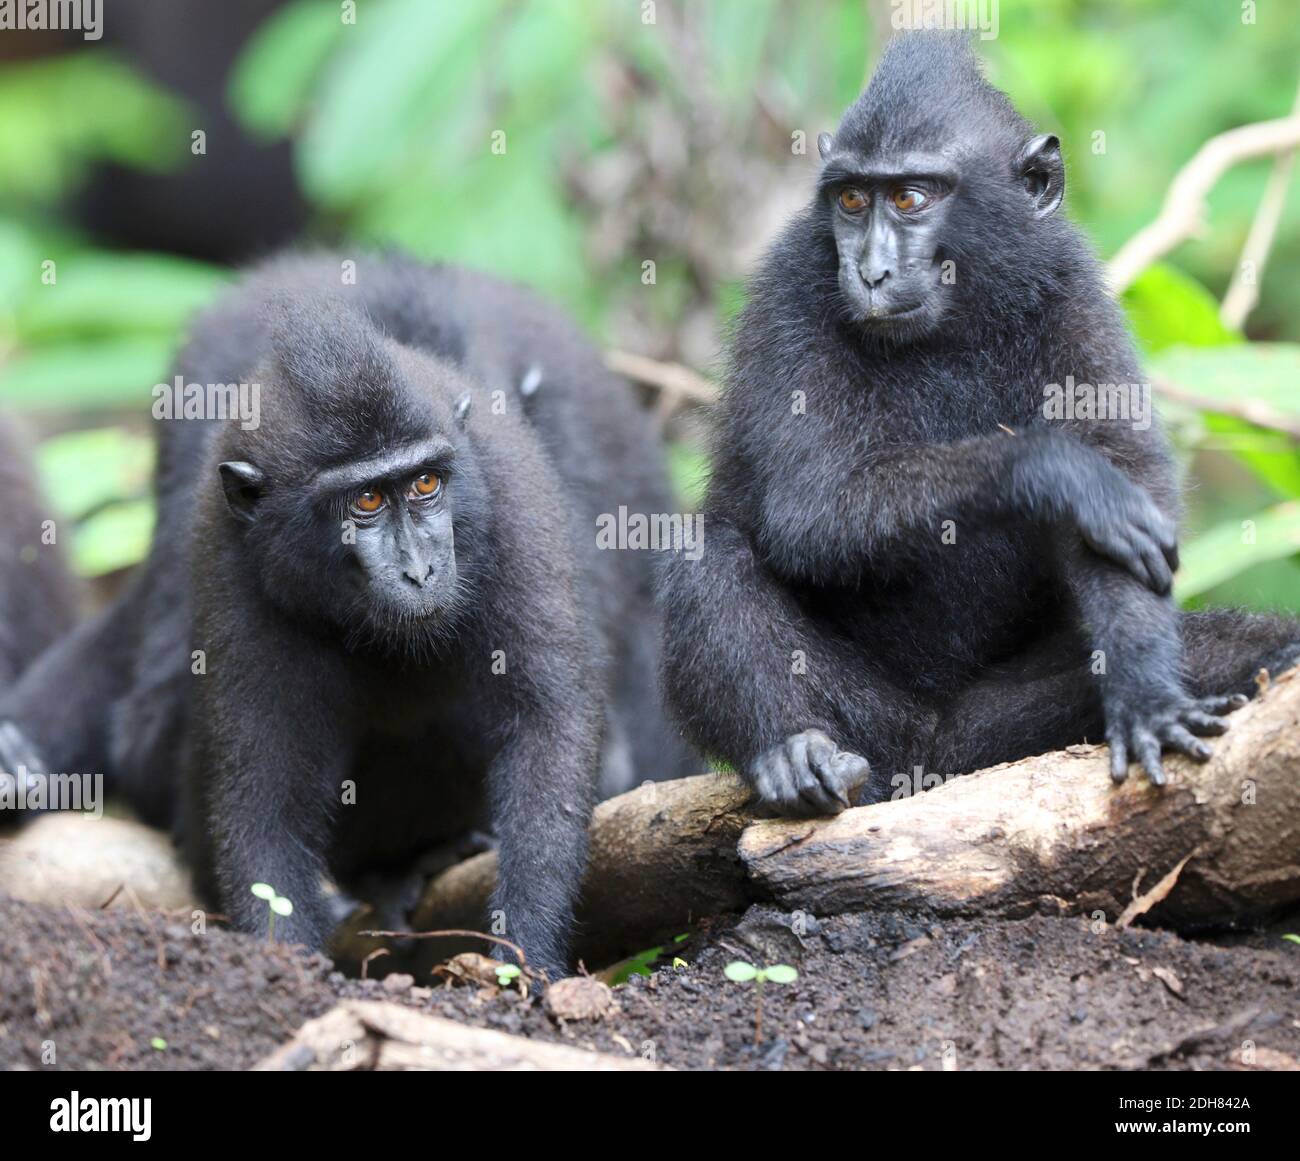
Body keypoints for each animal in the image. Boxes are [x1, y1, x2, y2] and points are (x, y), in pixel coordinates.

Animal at [0, 254, 695, 977]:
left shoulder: (519, 491)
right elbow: (253, 778)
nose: (420, 569)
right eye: (364, 502)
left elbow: (548, 717)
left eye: (426, 483)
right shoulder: (225, 536)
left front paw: (525, 950)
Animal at [658, 33, 1300, 817]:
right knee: (706, 553)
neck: (953, 321)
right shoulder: (792, 283)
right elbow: (812, 504)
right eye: (851, 199)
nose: (870, 272)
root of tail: (935, 752)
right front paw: (1061, 473)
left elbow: (1132, 491)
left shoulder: (1071, 287)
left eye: (910, 198)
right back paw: (789, 754)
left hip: (995, 730)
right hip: (872, 723)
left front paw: (1148, 695)